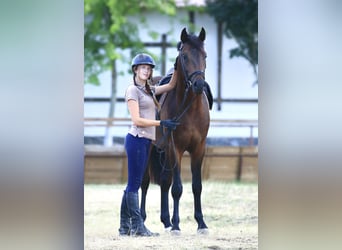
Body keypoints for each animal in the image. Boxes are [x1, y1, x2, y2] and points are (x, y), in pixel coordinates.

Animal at [140, 27, 210, 234]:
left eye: (205, 55)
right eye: (184, 56)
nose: (199, 85)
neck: (190, 108)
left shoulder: (199, 148)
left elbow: (196, 186)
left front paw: (201, 224)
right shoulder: (175, 148)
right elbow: (177, 188)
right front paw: (177, 225)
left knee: (164, 182)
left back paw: (166, 221)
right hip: (152, 149)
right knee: (145, 182)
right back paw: (143, 220)